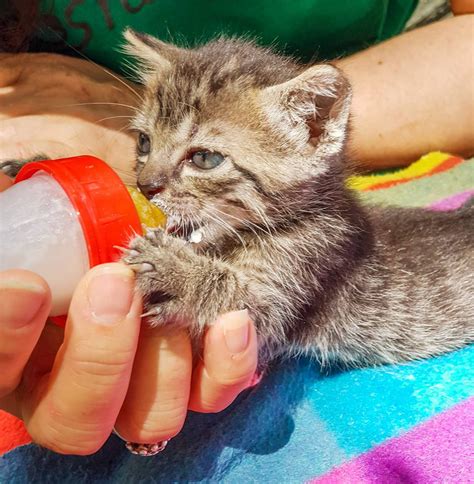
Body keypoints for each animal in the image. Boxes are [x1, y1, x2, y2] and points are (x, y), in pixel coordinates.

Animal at [128, 33, 472, 366]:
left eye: (204, 158)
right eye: (144, 142)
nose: (146, 185)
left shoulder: (284, 296)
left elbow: (238, 298)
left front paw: (176, 270)